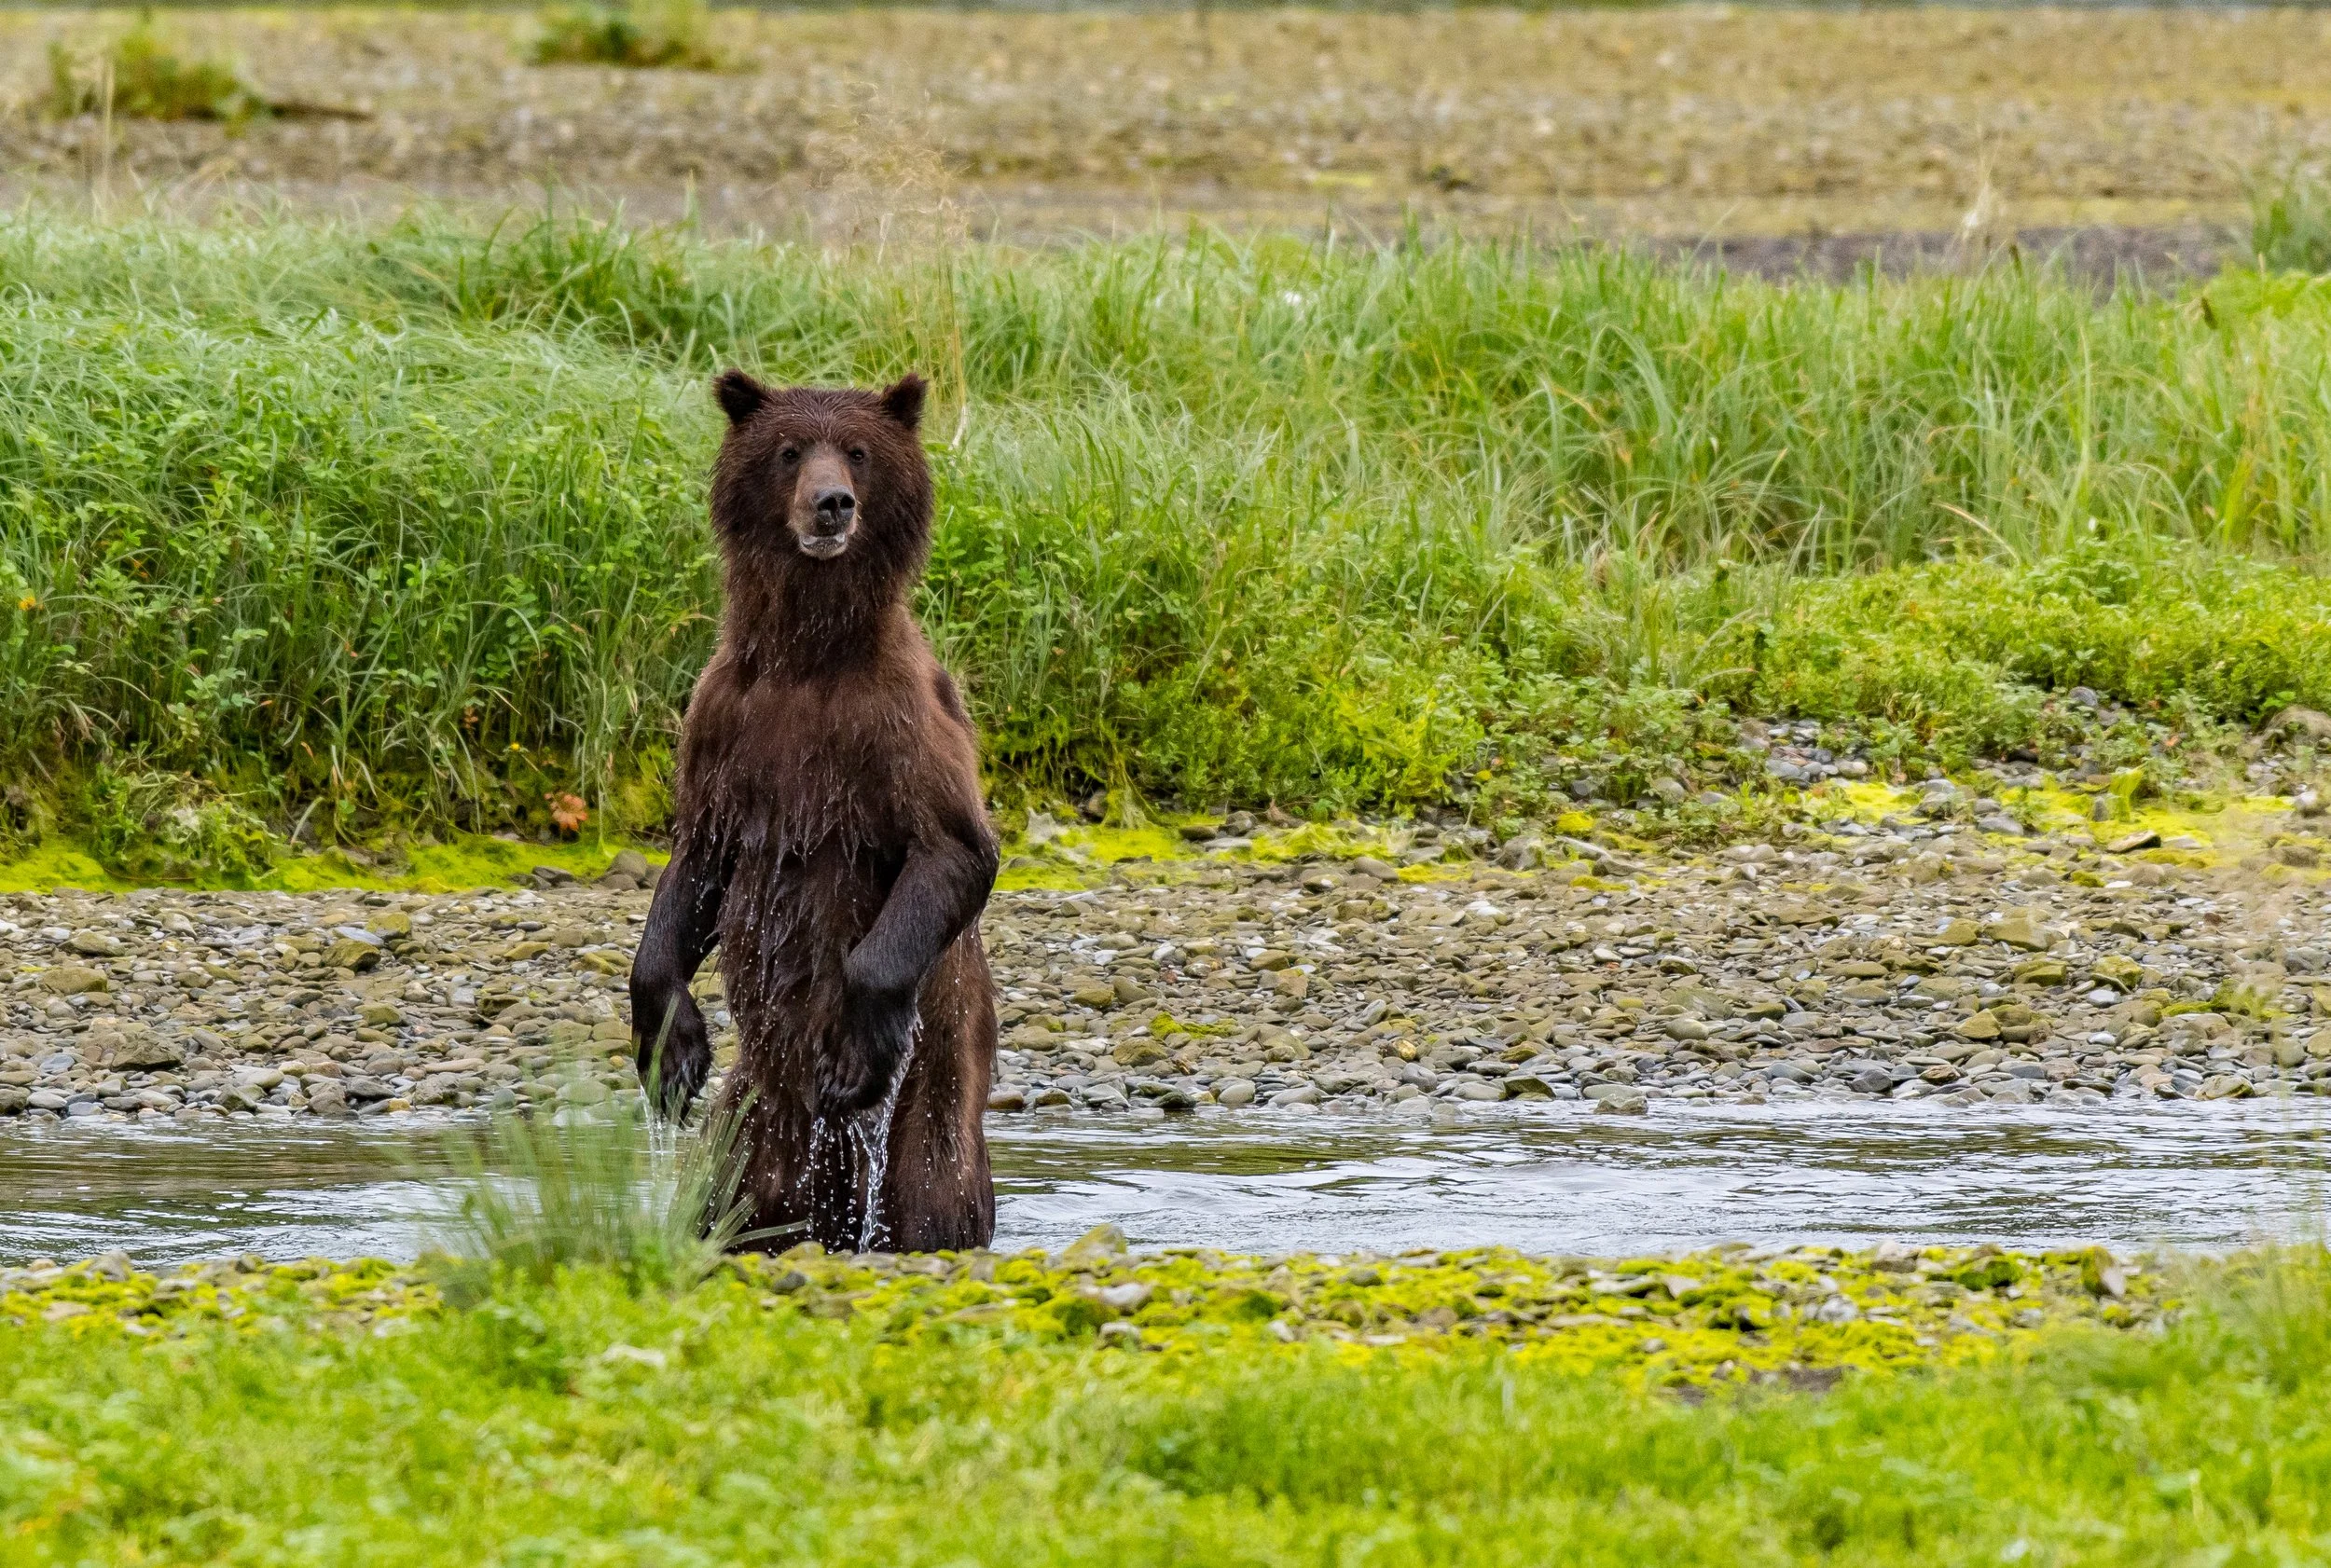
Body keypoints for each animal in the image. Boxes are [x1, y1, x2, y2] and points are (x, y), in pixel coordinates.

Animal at [628, 369, 1001, 1255]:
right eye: (790, 450)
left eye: (859, 452)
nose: (832, 503)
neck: (807, 650)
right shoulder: (725, 724)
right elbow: (698, 863)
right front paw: (672, 1047)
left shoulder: (896, 721)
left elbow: (952, 845)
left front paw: (854, 1051)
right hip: (757, 1115)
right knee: (731, 1184)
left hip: (939, 1079)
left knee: (933, 1182)